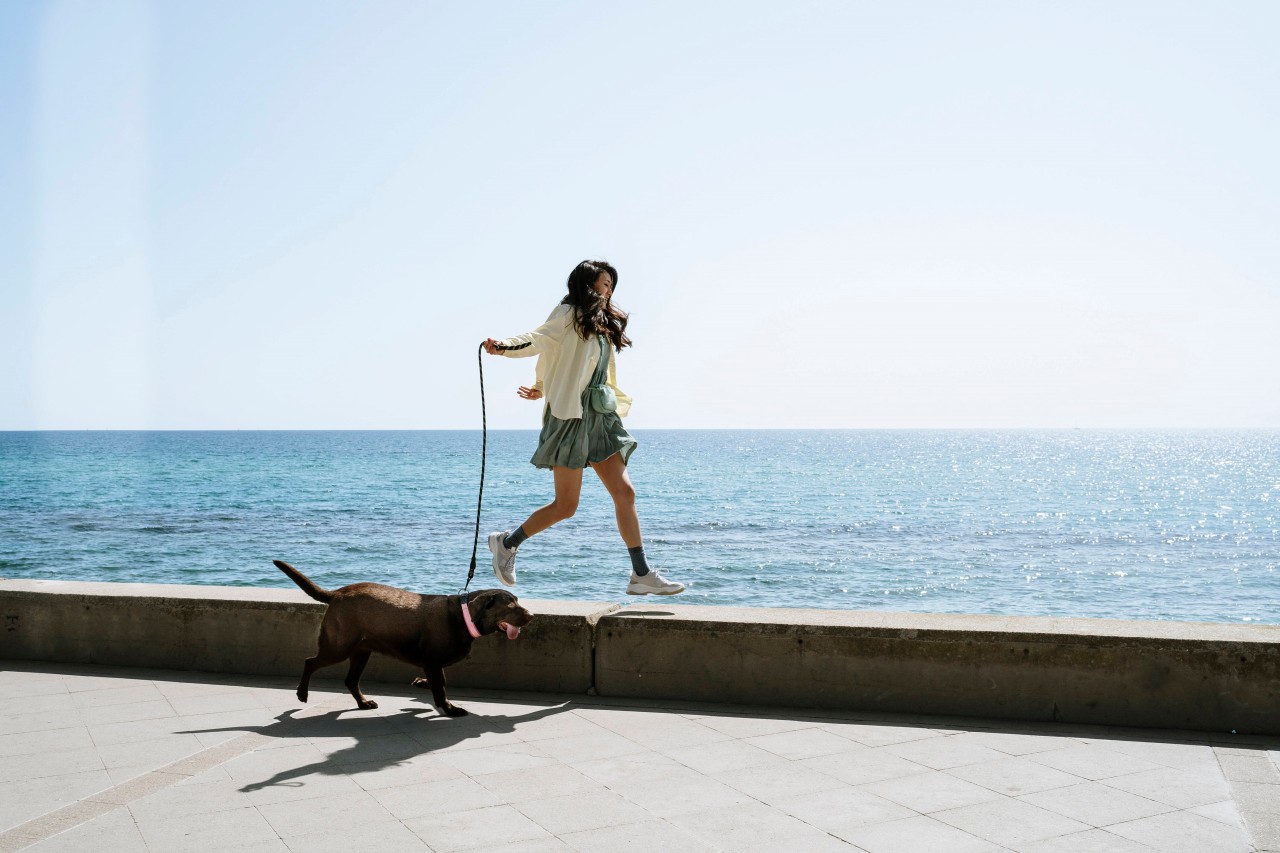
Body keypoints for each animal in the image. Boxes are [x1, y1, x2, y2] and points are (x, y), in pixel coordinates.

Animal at [272, 555, 532, 712]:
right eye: (510, 605)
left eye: (518, 601)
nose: (530, 615)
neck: (462, 616)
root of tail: (337, 593)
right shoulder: (433, 660)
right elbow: (441, 687)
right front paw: (449, 708)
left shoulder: (433, 663)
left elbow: (439, 680)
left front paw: (422, 684)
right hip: (338, 647)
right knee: (310, 662)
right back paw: (302, 693)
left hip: (361, 651)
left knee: (350, 680)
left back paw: (363, 702)